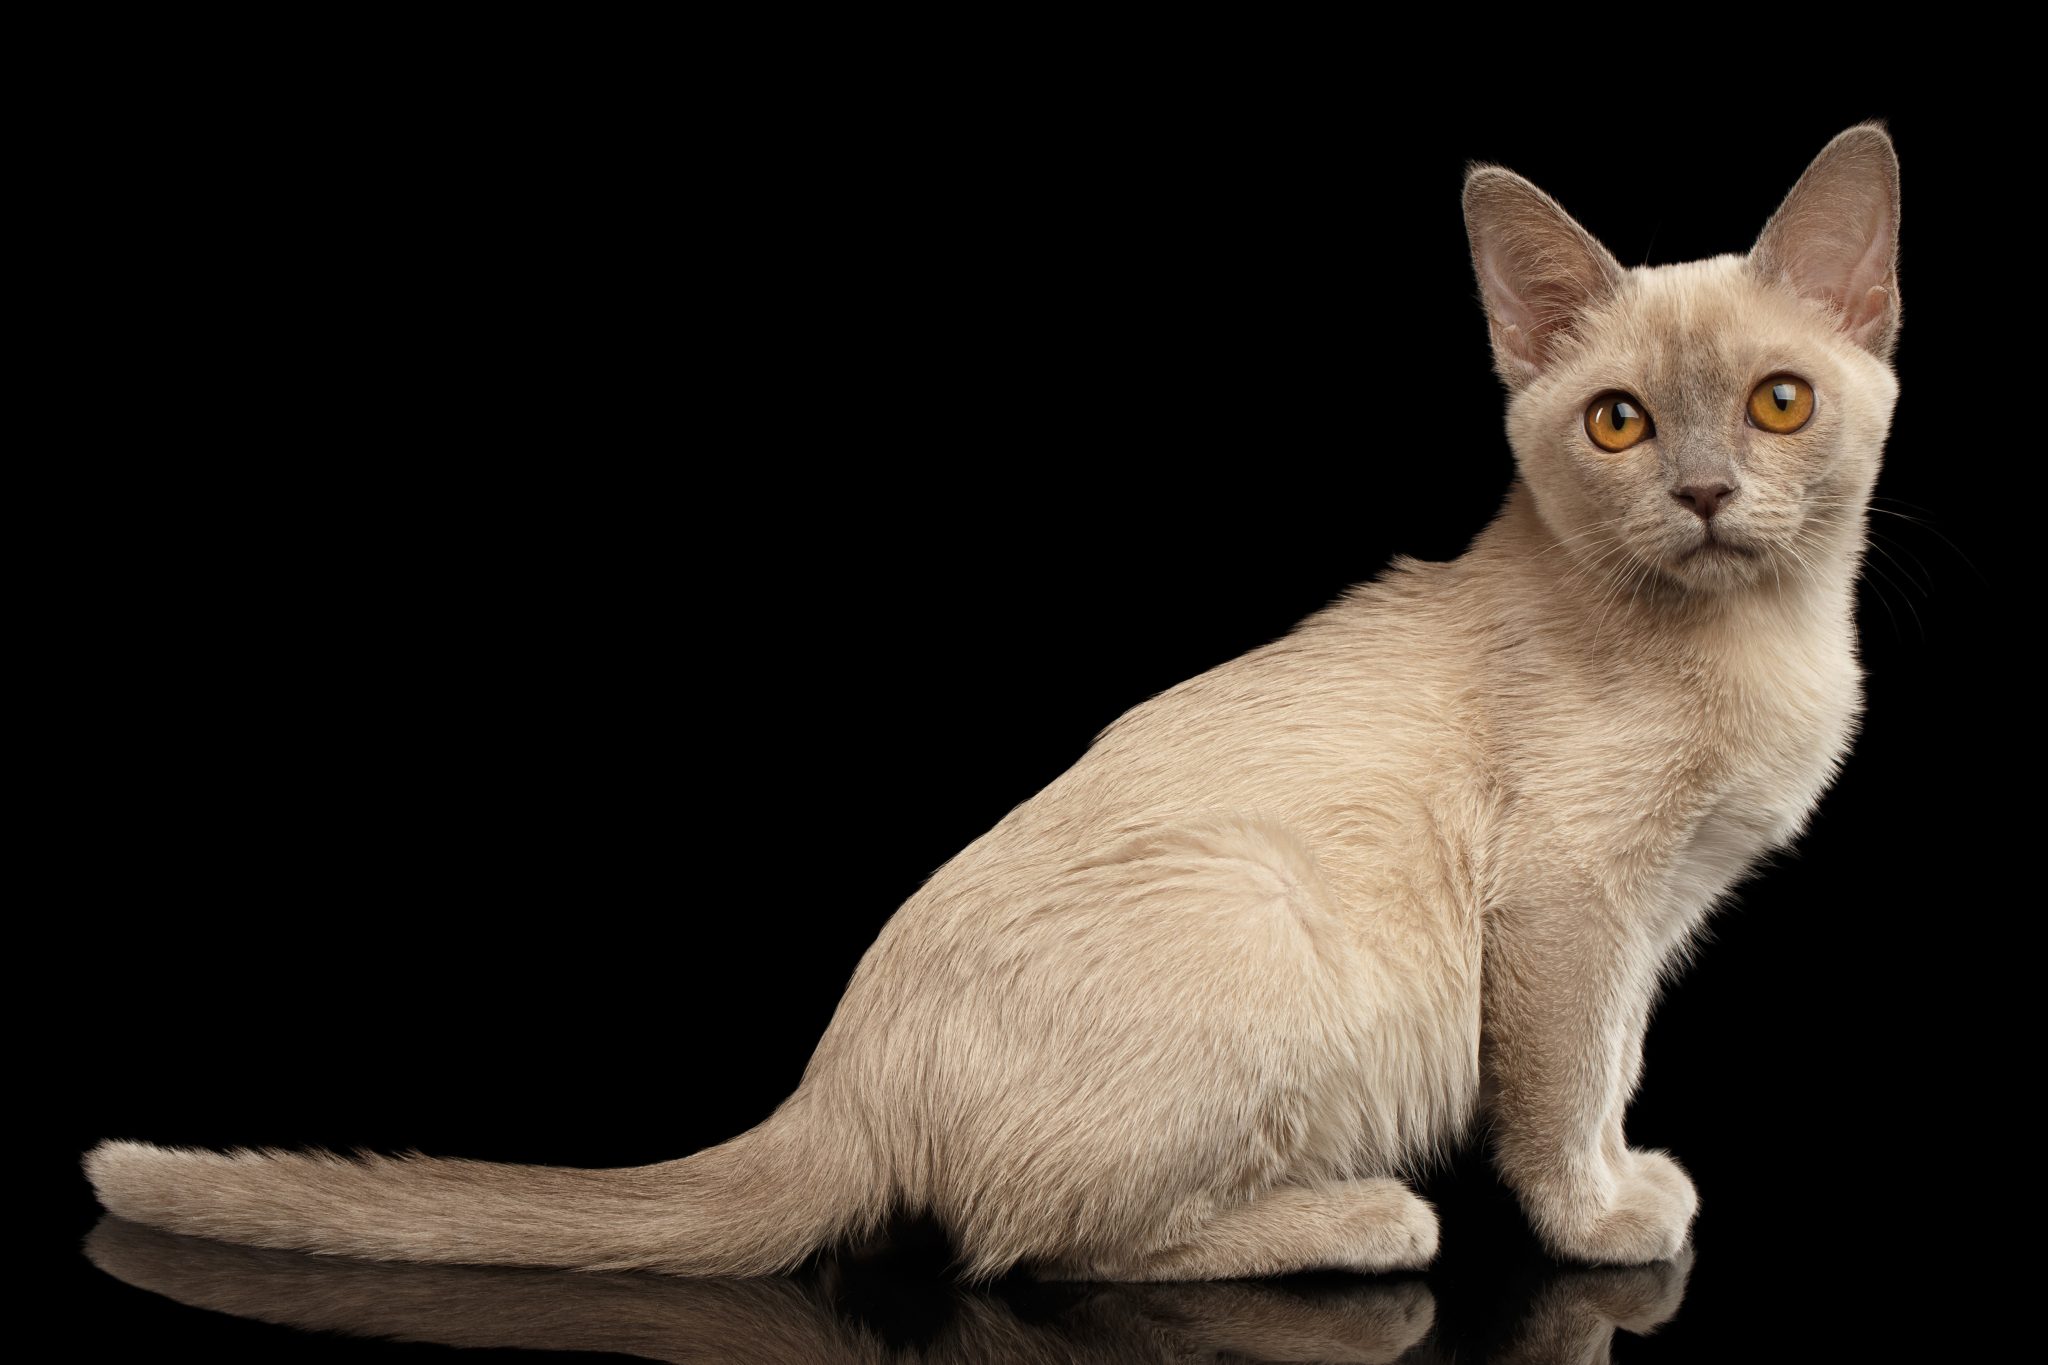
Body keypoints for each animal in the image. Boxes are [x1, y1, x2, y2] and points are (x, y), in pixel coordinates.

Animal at [79, 122, 1900, 1285]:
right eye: (1615, 424)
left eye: (1775, 402)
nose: (1705, 495)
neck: (1758, 644)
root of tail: (837, 1078)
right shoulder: (1571, 905)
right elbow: (1564, 1086)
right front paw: (1604, 1220)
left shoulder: (1653, 916)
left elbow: (1616, 1059)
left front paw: (1626, 1180)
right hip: (1276, 930)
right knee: (1034, 1248)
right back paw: (1366, 1219)